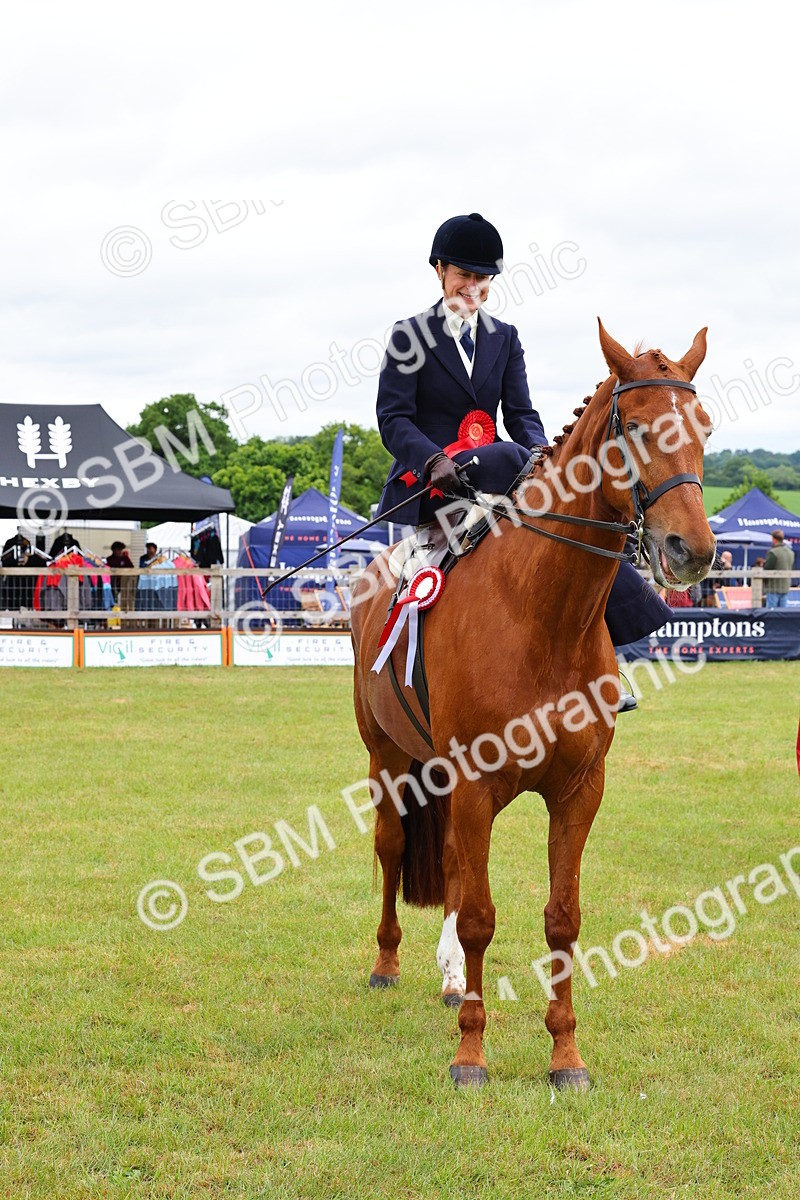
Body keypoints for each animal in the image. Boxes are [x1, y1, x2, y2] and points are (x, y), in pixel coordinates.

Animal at [350, 321, 716, 1089]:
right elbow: (482, 919)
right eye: (638, 428)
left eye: (703, 428)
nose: (691, 551)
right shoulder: (474, 785)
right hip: (388, 759)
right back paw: (387, 964)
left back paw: (451, 978)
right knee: (394, 849)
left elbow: (561, 918)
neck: (540, 613)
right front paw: (470, 1057)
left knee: (452, 869)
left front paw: (566, 1056)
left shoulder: (578, 789)